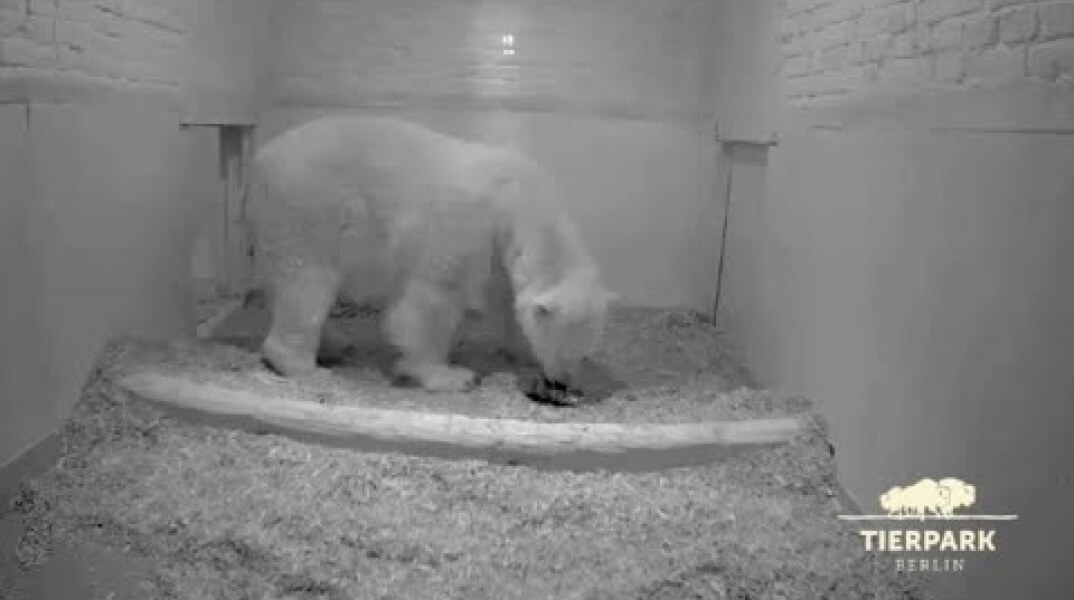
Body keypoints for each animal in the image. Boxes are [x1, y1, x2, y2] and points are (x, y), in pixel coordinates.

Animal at [246, 115, 614, 394]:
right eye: (562, 350)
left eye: (583, 355)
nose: (561, 383)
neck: (517, 196)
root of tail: (261, 158)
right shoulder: (467, 226)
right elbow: (431, 297)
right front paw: (448, 376)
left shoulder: (497, 251)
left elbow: (505, 300)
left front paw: (517, 348)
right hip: (307, 212)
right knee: (306, 285)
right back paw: (308, 369)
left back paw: (334, 345)